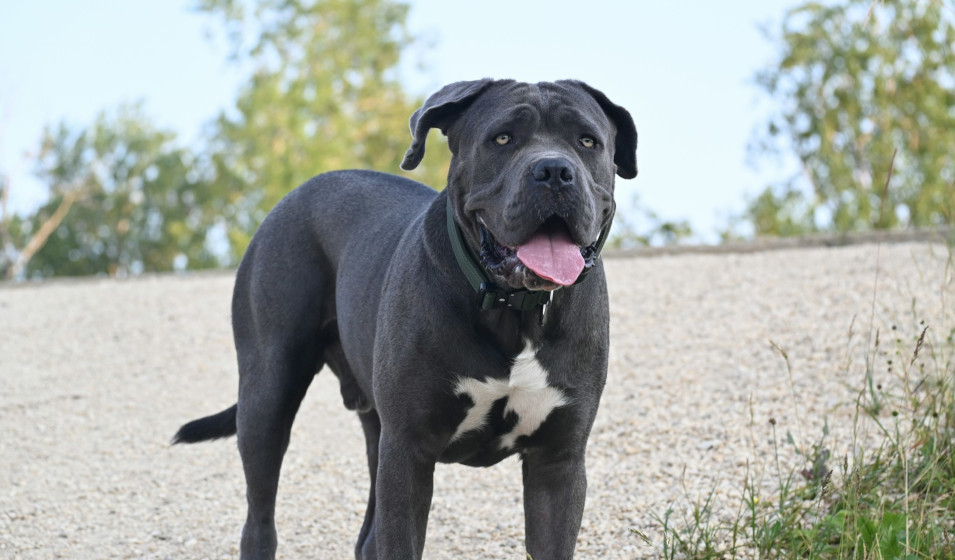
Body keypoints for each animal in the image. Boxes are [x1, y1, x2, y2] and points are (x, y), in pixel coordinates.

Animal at [176, 79, 640, 560]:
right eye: (502, 139)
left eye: (587, 141)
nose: (553, 171)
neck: (513, 311)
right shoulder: (408, 452)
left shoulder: (557, 463)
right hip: (267, 393)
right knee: (260, 517)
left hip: (373, 429)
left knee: (367, 536)